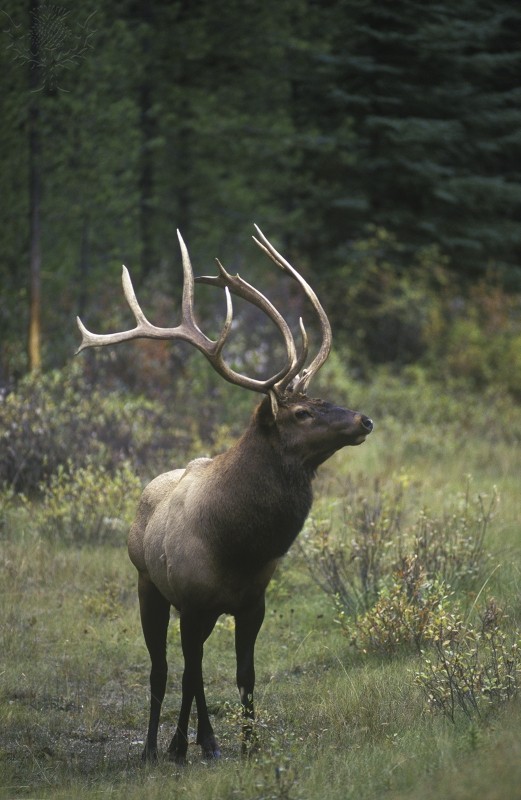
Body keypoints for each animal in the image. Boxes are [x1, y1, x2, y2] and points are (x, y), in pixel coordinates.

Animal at [76, 226, 373, 764]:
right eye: (301, 412)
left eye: (322, 399)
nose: (364, 420)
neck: (237, 545)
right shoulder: (191, 600)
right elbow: (188, 673)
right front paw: (196, 744)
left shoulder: (252, 602)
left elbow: (243, 674)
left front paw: (248, 744)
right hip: (149, 584)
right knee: (163, 670)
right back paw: (155, 748)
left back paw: (189, 741)